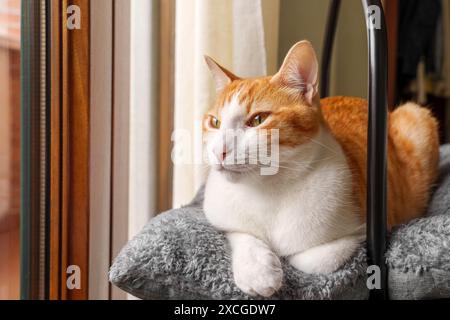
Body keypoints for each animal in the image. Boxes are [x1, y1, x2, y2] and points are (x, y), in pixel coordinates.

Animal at [201, 40, 440, 298]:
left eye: (258, 120)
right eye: (215, 122)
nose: (219, 151)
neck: (268, 190)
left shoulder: (367, 227)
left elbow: (314, 258)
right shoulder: (221, 217)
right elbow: (241, 234)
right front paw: (257, 270)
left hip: (415, 114)